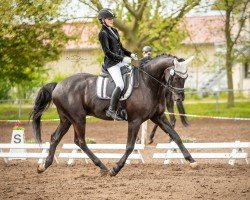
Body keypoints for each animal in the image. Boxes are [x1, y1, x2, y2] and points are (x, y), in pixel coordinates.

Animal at [30, 54, 197, 176]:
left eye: (186, 77)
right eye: (176, 77)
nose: (179, 98)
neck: (148, 83)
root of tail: (58, 85)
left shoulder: (158, 117)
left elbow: (176, 136)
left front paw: (192, 161)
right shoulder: (135, 121)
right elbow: (130, 146)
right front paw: (115, 169)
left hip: (67, 119)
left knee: (56, 138)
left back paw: (44, 165)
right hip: (78, 118)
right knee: (81, 141)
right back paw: (103, 167)